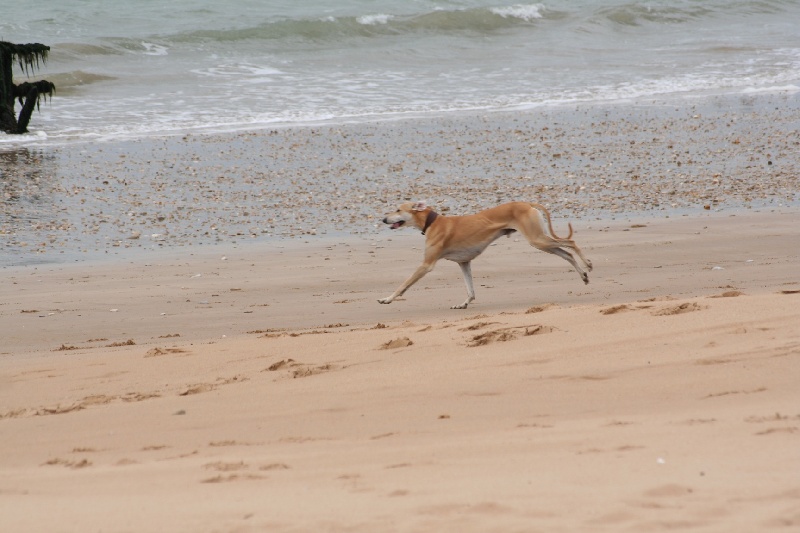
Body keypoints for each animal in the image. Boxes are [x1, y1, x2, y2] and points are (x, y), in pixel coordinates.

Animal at [378, 200, 592, 308]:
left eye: (398, 209)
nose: (383, 219)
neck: (432, 222)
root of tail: (525, 203)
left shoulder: (426, 265)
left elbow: (404, 284)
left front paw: (387, 298)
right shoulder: (464, 262)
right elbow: (470, 289)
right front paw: (464, 303)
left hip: (537, 239)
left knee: (571, 243)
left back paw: (588, 263)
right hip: (540, 241)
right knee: (566, 254)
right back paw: (583, 275)